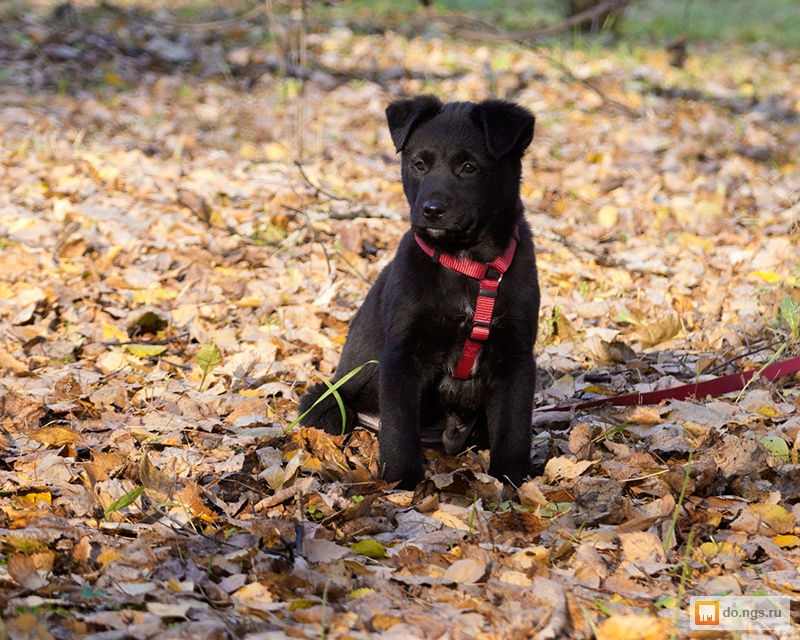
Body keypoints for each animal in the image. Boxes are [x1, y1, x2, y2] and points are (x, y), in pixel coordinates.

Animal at [296, 95, 540, 488]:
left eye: (469, 167)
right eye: (419, 164)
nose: (431, 210)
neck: (466, 264)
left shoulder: (516, 357)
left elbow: (514, 428)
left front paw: (511, 481)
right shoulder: (402, 355)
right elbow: (399, 430)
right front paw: (401, 483)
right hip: (328, 399)